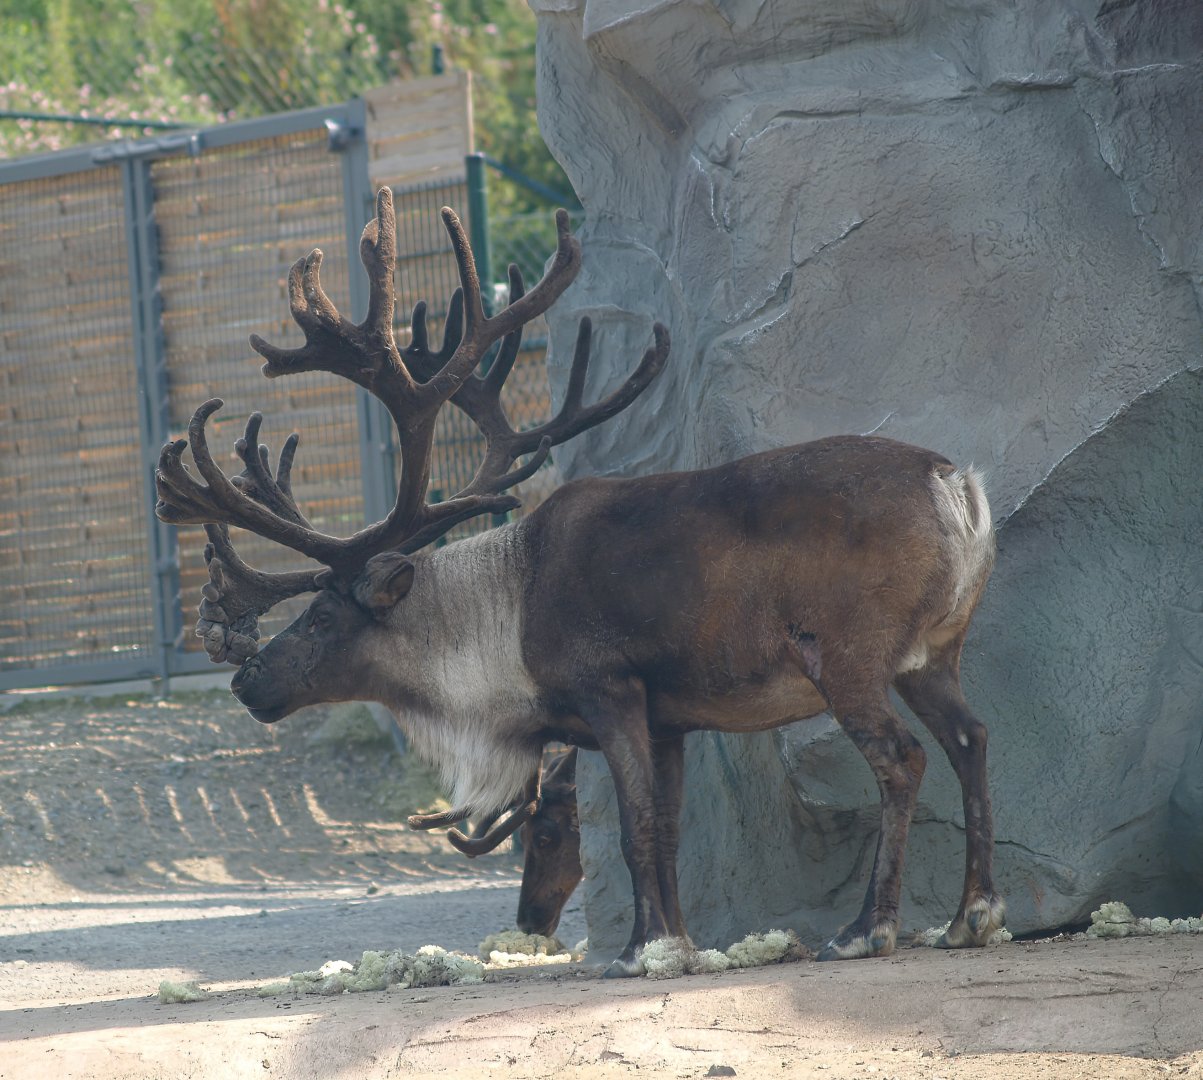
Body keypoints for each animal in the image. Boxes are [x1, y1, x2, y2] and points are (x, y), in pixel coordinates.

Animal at [155, 187, 1005, 977]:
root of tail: (956, 484)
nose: (247, 679)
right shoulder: (670, 717)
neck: (502, 625)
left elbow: (634, 827)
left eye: (323, 618)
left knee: (902, 758)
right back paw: (972, 916)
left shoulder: (610, 686)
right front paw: (674, 941)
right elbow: (666, 828)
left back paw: (867, 928)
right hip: (935, 653)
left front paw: (641, 950)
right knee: (970, 737)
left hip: (848, 656)